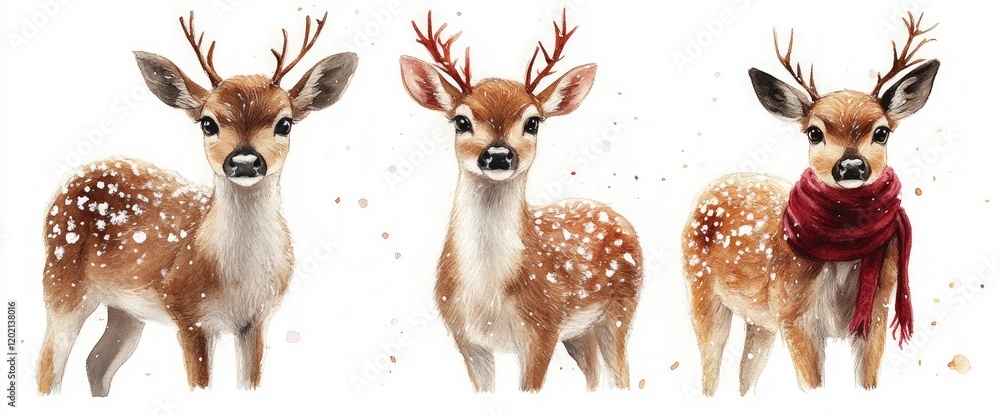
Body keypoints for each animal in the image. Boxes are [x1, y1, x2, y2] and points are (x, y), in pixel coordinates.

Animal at [37, 11, 357, 396]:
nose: (244, 161)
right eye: (208, 123)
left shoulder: (256, 319)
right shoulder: (187, 311)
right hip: (62, 280)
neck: (237, 278)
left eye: (285, 123)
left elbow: (249, 383)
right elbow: (199, 385)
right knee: (48, 367)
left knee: (96, 362)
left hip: (125, 308)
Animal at [399, 10, 643, 392]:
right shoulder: (466, 339)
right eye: (461, 121)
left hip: (620, 311)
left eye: (533, 122)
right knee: (593, 374)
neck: (487, 298)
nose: (498, 155)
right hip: (579, 333)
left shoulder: (542, 329)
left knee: (620, 374)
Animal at [682, 12, 939, 395]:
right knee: (710, 369)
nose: (851, 166)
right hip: (702, 290)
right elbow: (812, 385)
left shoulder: (876, 315)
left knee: (746, 374)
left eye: (882, 132)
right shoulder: (794, 314)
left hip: (761, 321)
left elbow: (868, 382)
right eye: (814, 132)